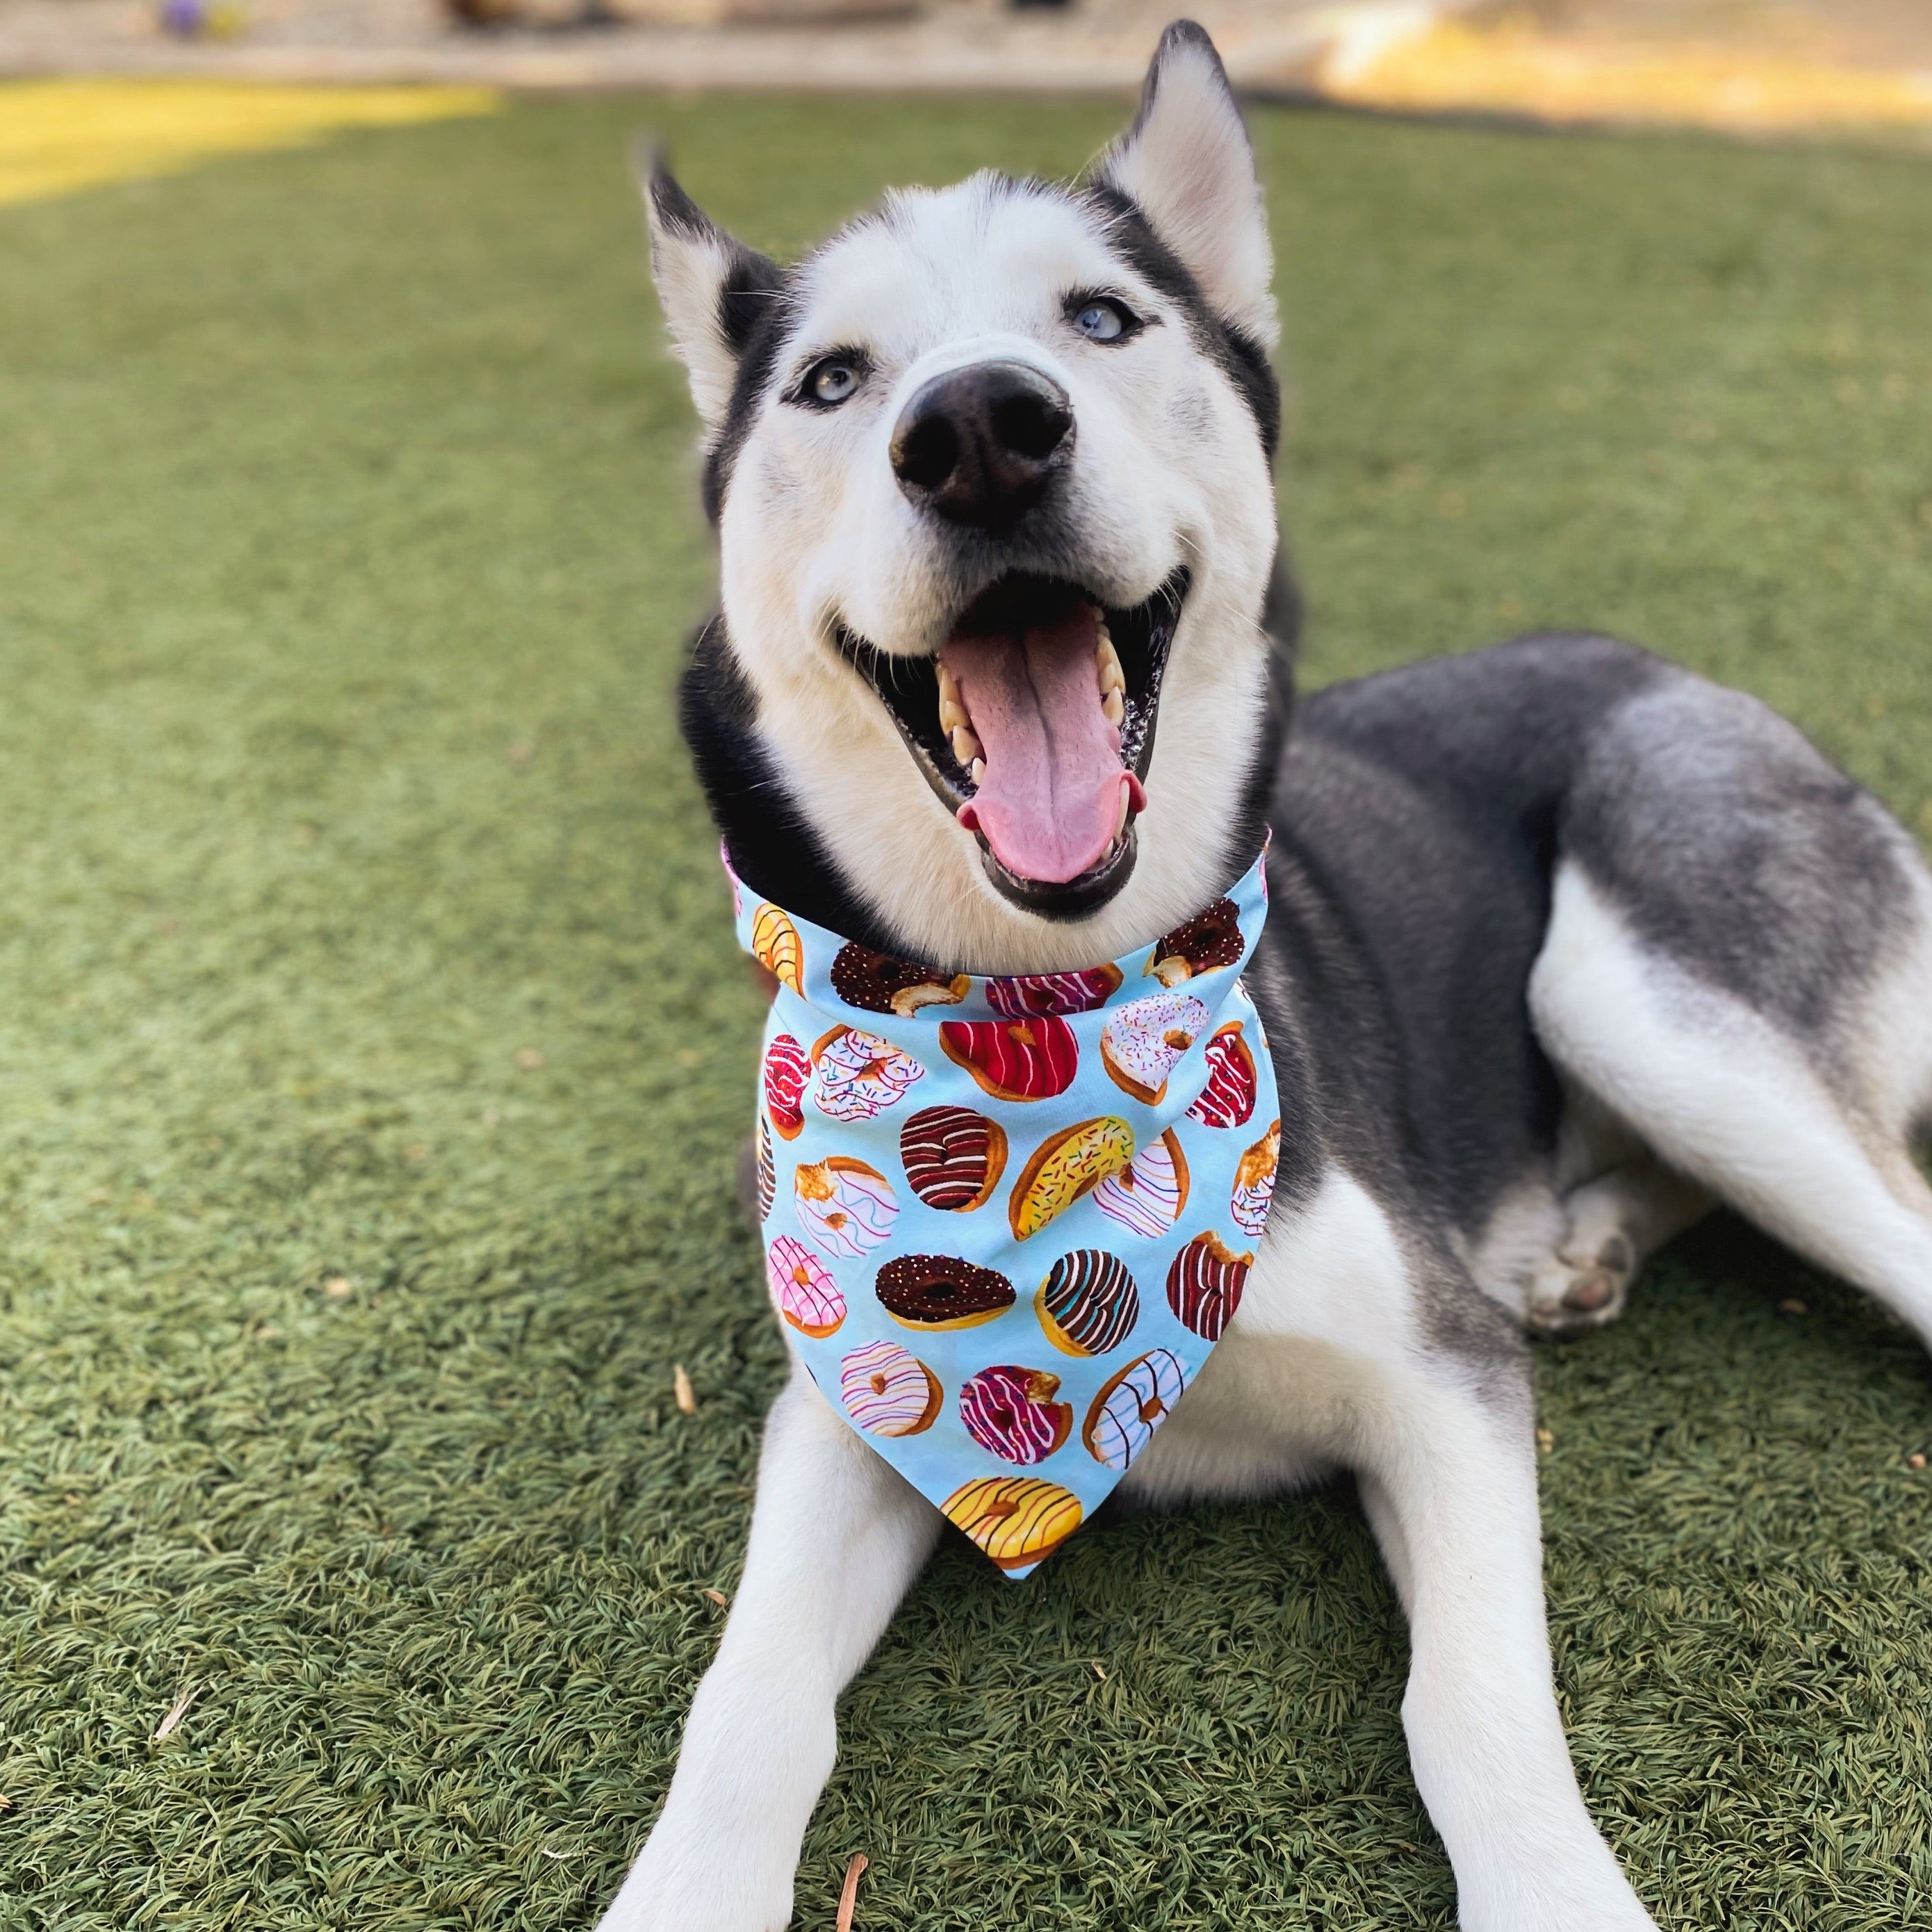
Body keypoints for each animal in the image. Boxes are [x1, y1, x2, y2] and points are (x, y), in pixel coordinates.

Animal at [603, 22, 1932, 1924]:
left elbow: (1469, 1708)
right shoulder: (845, 1408)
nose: (979, 430)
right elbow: (749, 1693)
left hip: (1640, 985)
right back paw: (1583, 1244)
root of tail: (1693, 676)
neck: (1037, 1015)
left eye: (1099, 318)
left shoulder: (1443, 1378)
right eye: (833, 380)